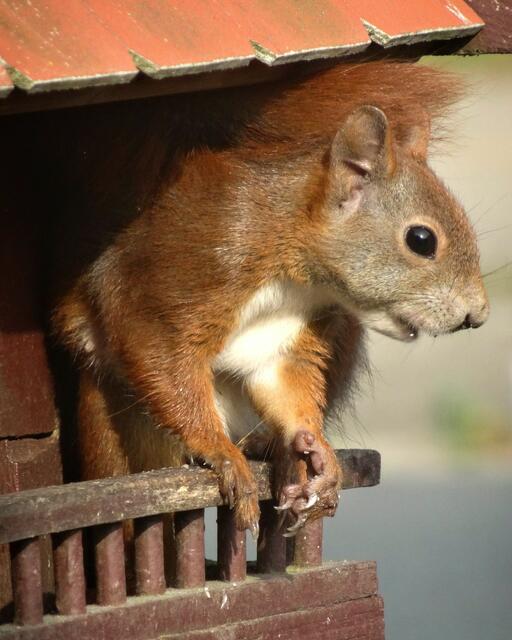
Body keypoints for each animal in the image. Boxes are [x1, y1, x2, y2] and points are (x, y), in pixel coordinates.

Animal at [49, 60, 489, 537]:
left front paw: (318, 451)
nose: (478, 314)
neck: (295, 272)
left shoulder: (284, 338)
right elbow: (160, 357)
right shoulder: (195, 270)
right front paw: (222, 454)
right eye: (422, 240)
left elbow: (284, 385)